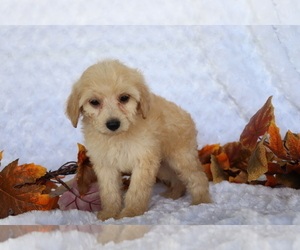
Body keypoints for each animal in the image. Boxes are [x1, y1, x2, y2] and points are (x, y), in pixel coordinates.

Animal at [65, 59, 211, 220]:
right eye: (94, 102)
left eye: (124, 98)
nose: (113, 124)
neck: (117, 137)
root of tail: (186, 115)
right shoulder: (105, 165)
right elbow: (109, 191)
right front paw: (109, 213)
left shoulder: (143, 162)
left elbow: (136, 190)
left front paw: (130, 213)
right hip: (163, 166)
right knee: (177, 179)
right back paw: (174, 194)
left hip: (181, 157)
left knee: (197, 177)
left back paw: (201, 201)